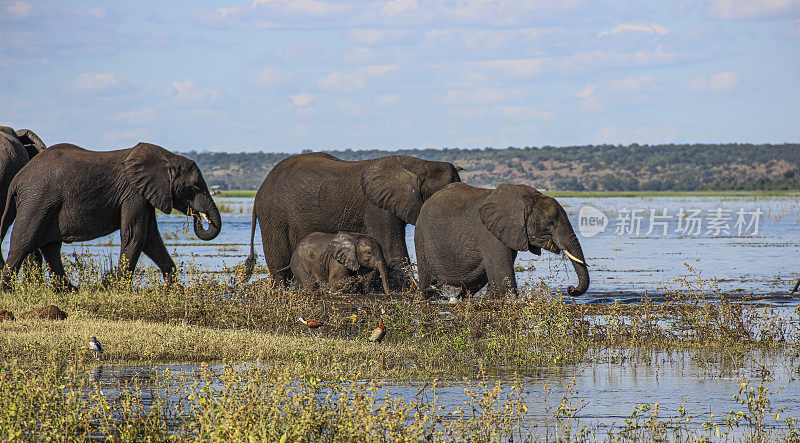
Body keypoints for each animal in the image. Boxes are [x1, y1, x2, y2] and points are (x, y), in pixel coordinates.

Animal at [0, 144, 222, 294]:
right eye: (194, 187)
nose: (197, 215)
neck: (167, 157)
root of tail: (17, 179)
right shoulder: (133, 193)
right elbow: (136, 236)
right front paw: (117, 288)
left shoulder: (144, 195)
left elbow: (151, 239)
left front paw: (174, 291)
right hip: (37, 200)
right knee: (23, 241)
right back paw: (7, 290)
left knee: (51, 247)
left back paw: (70, 290)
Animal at [244, 153, 462, 292]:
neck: (421, 165)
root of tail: (260, 189)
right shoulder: (377, 208)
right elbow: (394, 251)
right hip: (274, 215)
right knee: (279, 261)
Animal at [416, 182, 592, 300]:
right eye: (549, 223)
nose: (571, 289)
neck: (526, 200)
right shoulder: (490, 235)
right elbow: (503, 283)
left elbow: (496, 284)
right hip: (421, 240)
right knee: (428, 284)